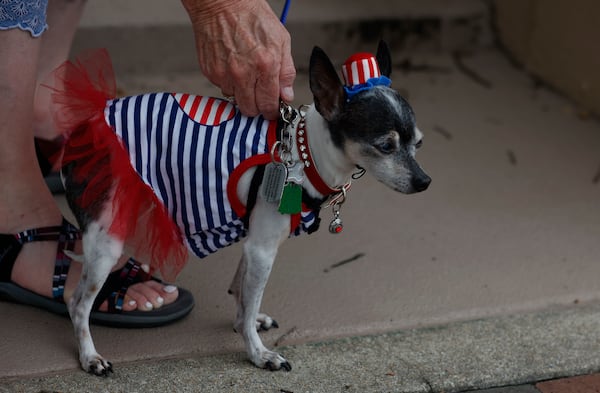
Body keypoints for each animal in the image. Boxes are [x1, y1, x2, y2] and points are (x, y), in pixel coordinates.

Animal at [51, 41, 426, 376]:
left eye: (418, 144)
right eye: (386, 146)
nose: (425, 181)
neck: (304, 155)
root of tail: (81, 131)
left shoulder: (253, 244)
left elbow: (243, 292)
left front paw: (247, 321)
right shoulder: (263, 249)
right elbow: (250, 299)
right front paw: (259, 354)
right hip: (107, 237)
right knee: (78, 304)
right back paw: (90, 357)